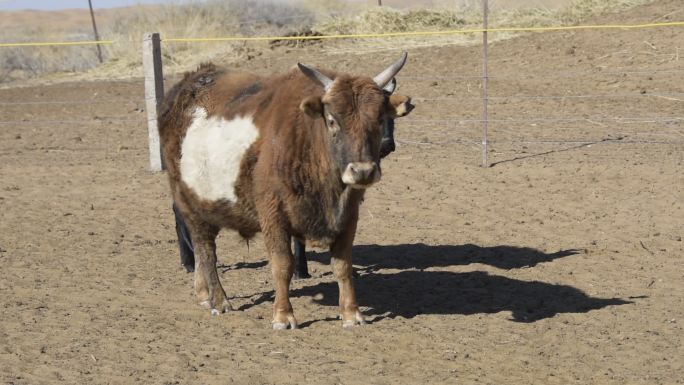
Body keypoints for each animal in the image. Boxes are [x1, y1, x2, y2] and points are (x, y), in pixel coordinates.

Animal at [159, 54, 406, 328]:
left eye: (379, 119)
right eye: (332, 120)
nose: (362, 171)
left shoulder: (348, 215)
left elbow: (342, 265)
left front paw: (352, 313)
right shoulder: (273, 215)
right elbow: (282, 264)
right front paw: (283, 315)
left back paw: (204, 294)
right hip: (191, 204)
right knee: (206, 250)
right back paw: (219, 300)